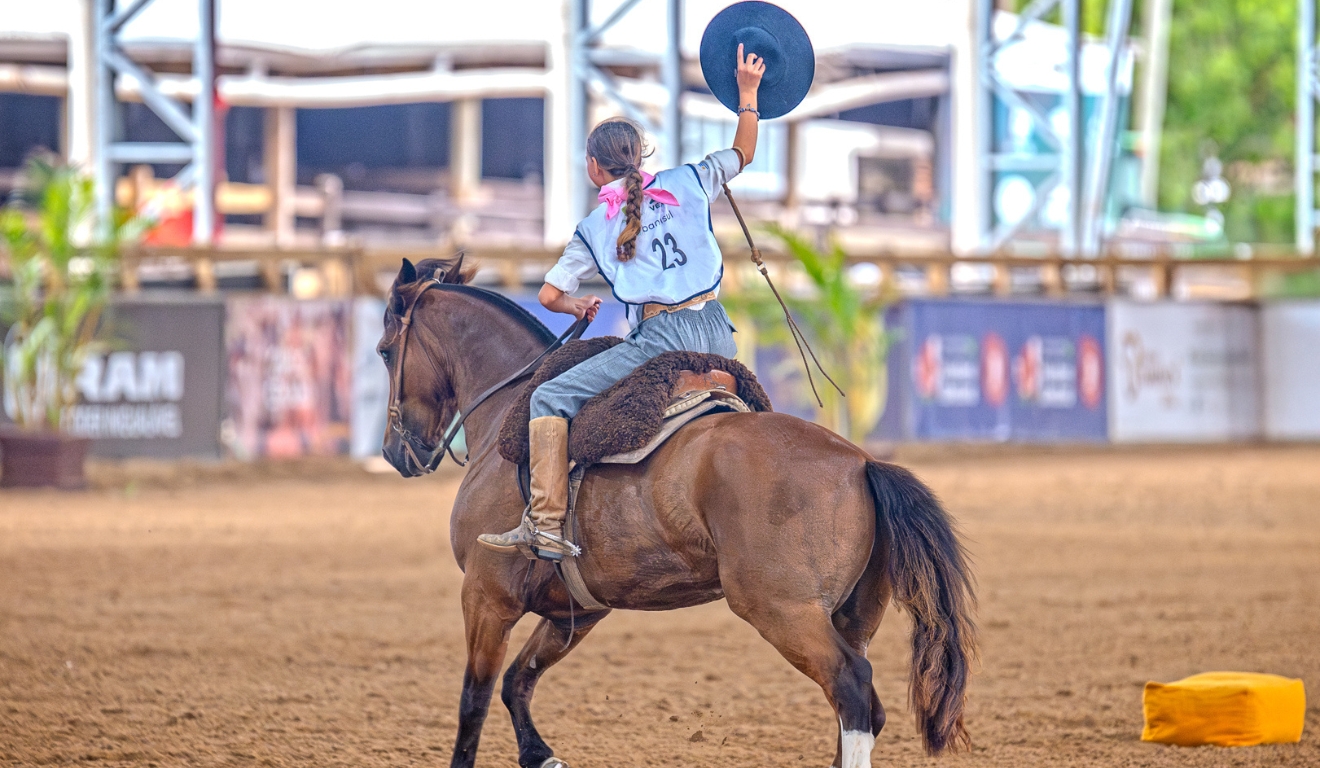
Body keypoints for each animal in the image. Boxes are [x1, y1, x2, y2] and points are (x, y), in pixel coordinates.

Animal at [377, 256, 978, 768]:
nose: (395, 453)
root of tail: (862, 463)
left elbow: (473, 702)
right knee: (864, 705)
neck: (511, 410)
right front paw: (540, 754)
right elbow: (516, 682)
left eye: (384, 350)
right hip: (853, 616)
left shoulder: (485, 597)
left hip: (785, 611)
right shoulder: (578, 610)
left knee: (851, 690)